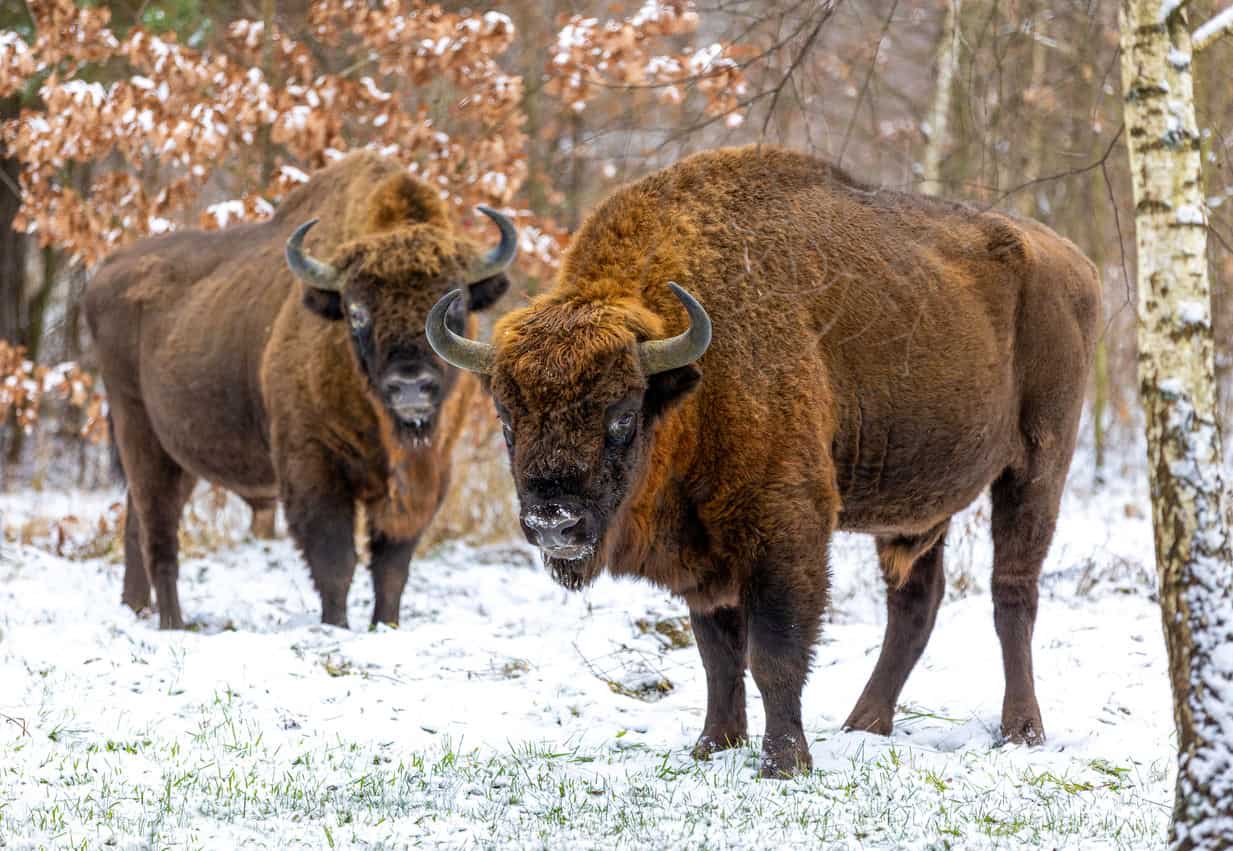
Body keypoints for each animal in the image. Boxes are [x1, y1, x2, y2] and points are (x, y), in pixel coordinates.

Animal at [85, 151, 510, 629]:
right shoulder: (312, 468)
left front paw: (385, 625)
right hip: (138, 433)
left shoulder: (429, 474)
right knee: (159, 532)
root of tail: (104, 272)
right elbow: (335, 561)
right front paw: (336, 625)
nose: (410, 386)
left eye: (454, 305)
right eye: (356, 312)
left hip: (176, 454)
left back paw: (136, 608)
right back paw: (172, 622)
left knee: (136, 523)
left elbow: (391, 568)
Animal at [431, 145, 1099, 774]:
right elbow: (717, 655)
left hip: (1038, 466)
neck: (693, 379)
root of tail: (1075, 262)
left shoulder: (785, 528)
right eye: (507, 420)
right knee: (915, 602)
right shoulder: (702, 556)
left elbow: (773, 653)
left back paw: (1021, 731)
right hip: (919, 508)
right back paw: (865, 725)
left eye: (621, 415)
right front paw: (712, 746)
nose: (554, 522)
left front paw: (785, 762)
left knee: (1012, 593)